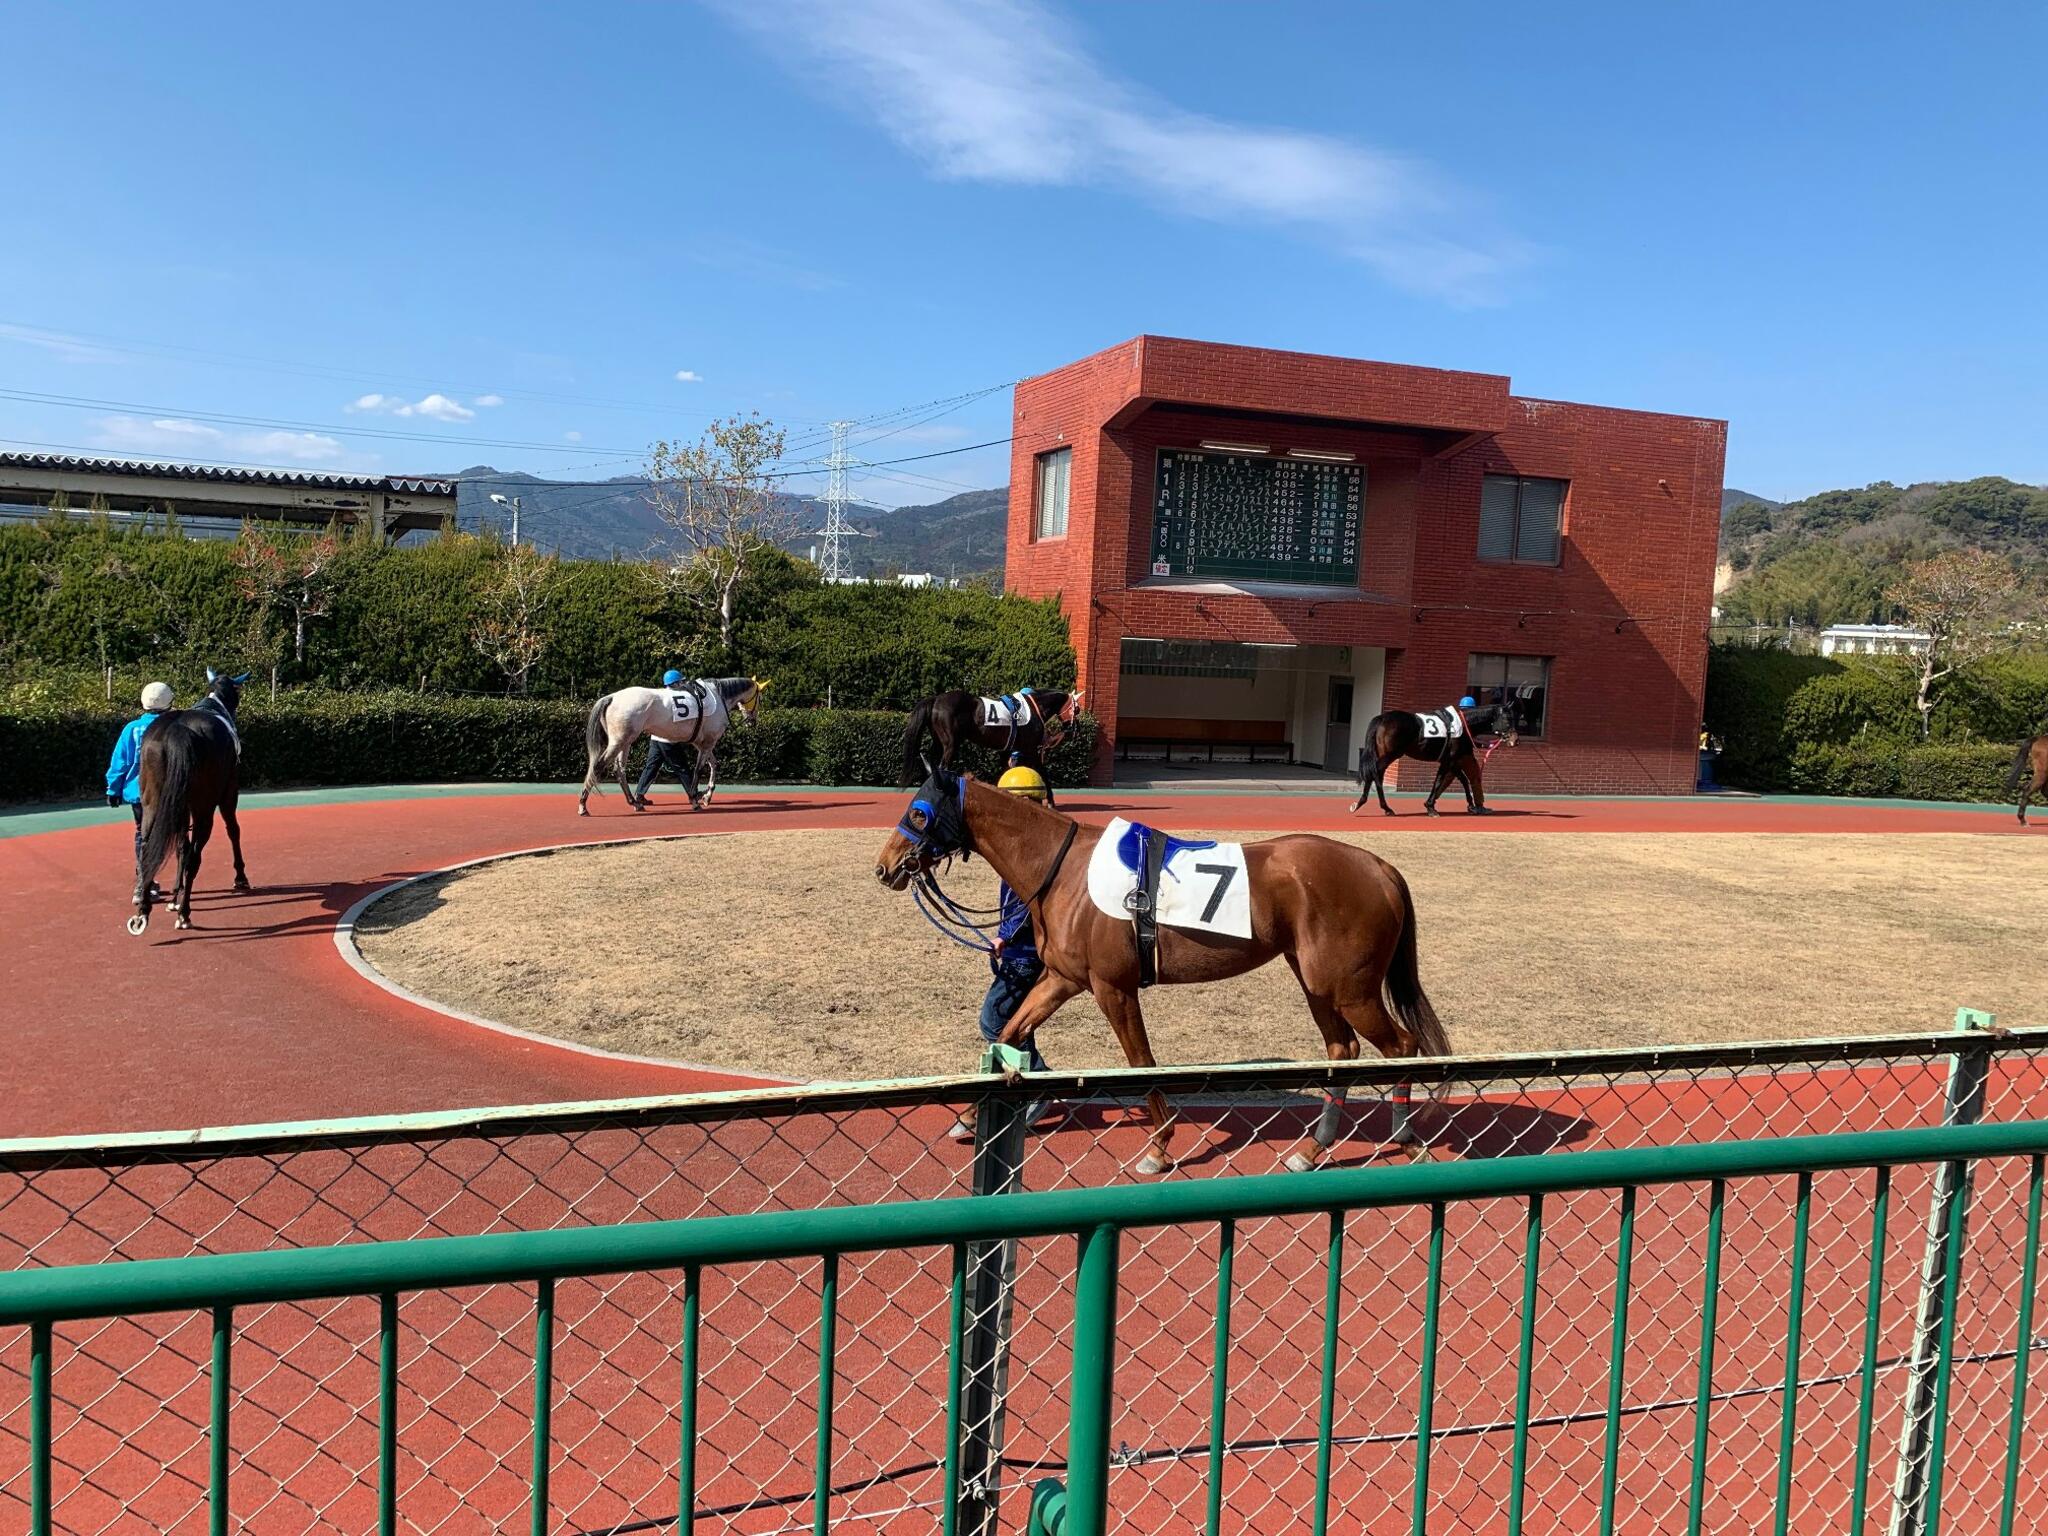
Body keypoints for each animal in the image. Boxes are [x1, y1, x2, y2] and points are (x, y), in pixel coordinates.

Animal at [130, 671, 249, 937]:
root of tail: (179, 730)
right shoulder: (229, 791)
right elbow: (233, 830)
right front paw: (241, 876)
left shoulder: (179, 807)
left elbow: (180, 847)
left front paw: (175, 895)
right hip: (205, 807)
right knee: (196, 856)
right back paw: (185, 913)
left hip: (154, 802)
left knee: (149, 847)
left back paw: (144, 910)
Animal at [577, 675, 770, 819]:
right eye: (760, 698)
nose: (752, 722)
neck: (719, 695)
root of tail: (612, 697)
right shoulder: (708, 742)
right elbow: (698, 770)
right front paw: (696, 800)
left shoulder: (703, 743)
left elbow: (714, 765)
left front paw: (706, 797)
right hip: (619, 741)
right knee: (598, 766)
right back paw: (583, 806)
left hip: (625, 742)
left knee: (619, 770)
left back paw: (635, 802)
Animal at [1343, 696, 1523, 819]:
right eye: (1507, 719)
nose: (1515, 740)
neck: (1463, 726)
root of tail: (1381, 719)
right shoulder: (1449, 760)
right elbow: (1439, 782)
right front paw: (1430, 807)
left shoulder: (1453, 761)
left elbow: (1463, 781)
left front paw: (1472, 806)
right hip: (1389, 755)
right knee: (1375, 774)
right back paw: (1384, 807)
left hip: (1383, 754)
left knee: (1373, 774)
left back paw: (1362, 803)